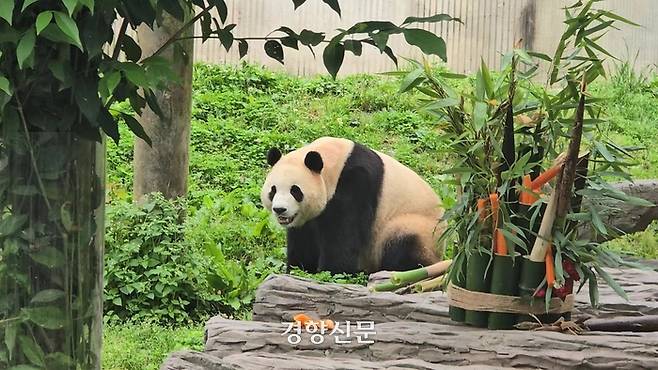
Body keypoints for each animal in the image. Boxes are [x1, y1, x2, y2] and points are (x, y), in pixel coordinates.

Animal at [258, 137, 444, 274]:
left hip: (418, 227)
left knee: (404, 245)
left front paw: (331, 272)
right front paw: (299, 270)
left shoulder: (356, 184)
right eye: (273, 190)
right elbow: (303, 239)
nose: (280, 209)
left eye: (295, 191)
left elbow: (342, 236)